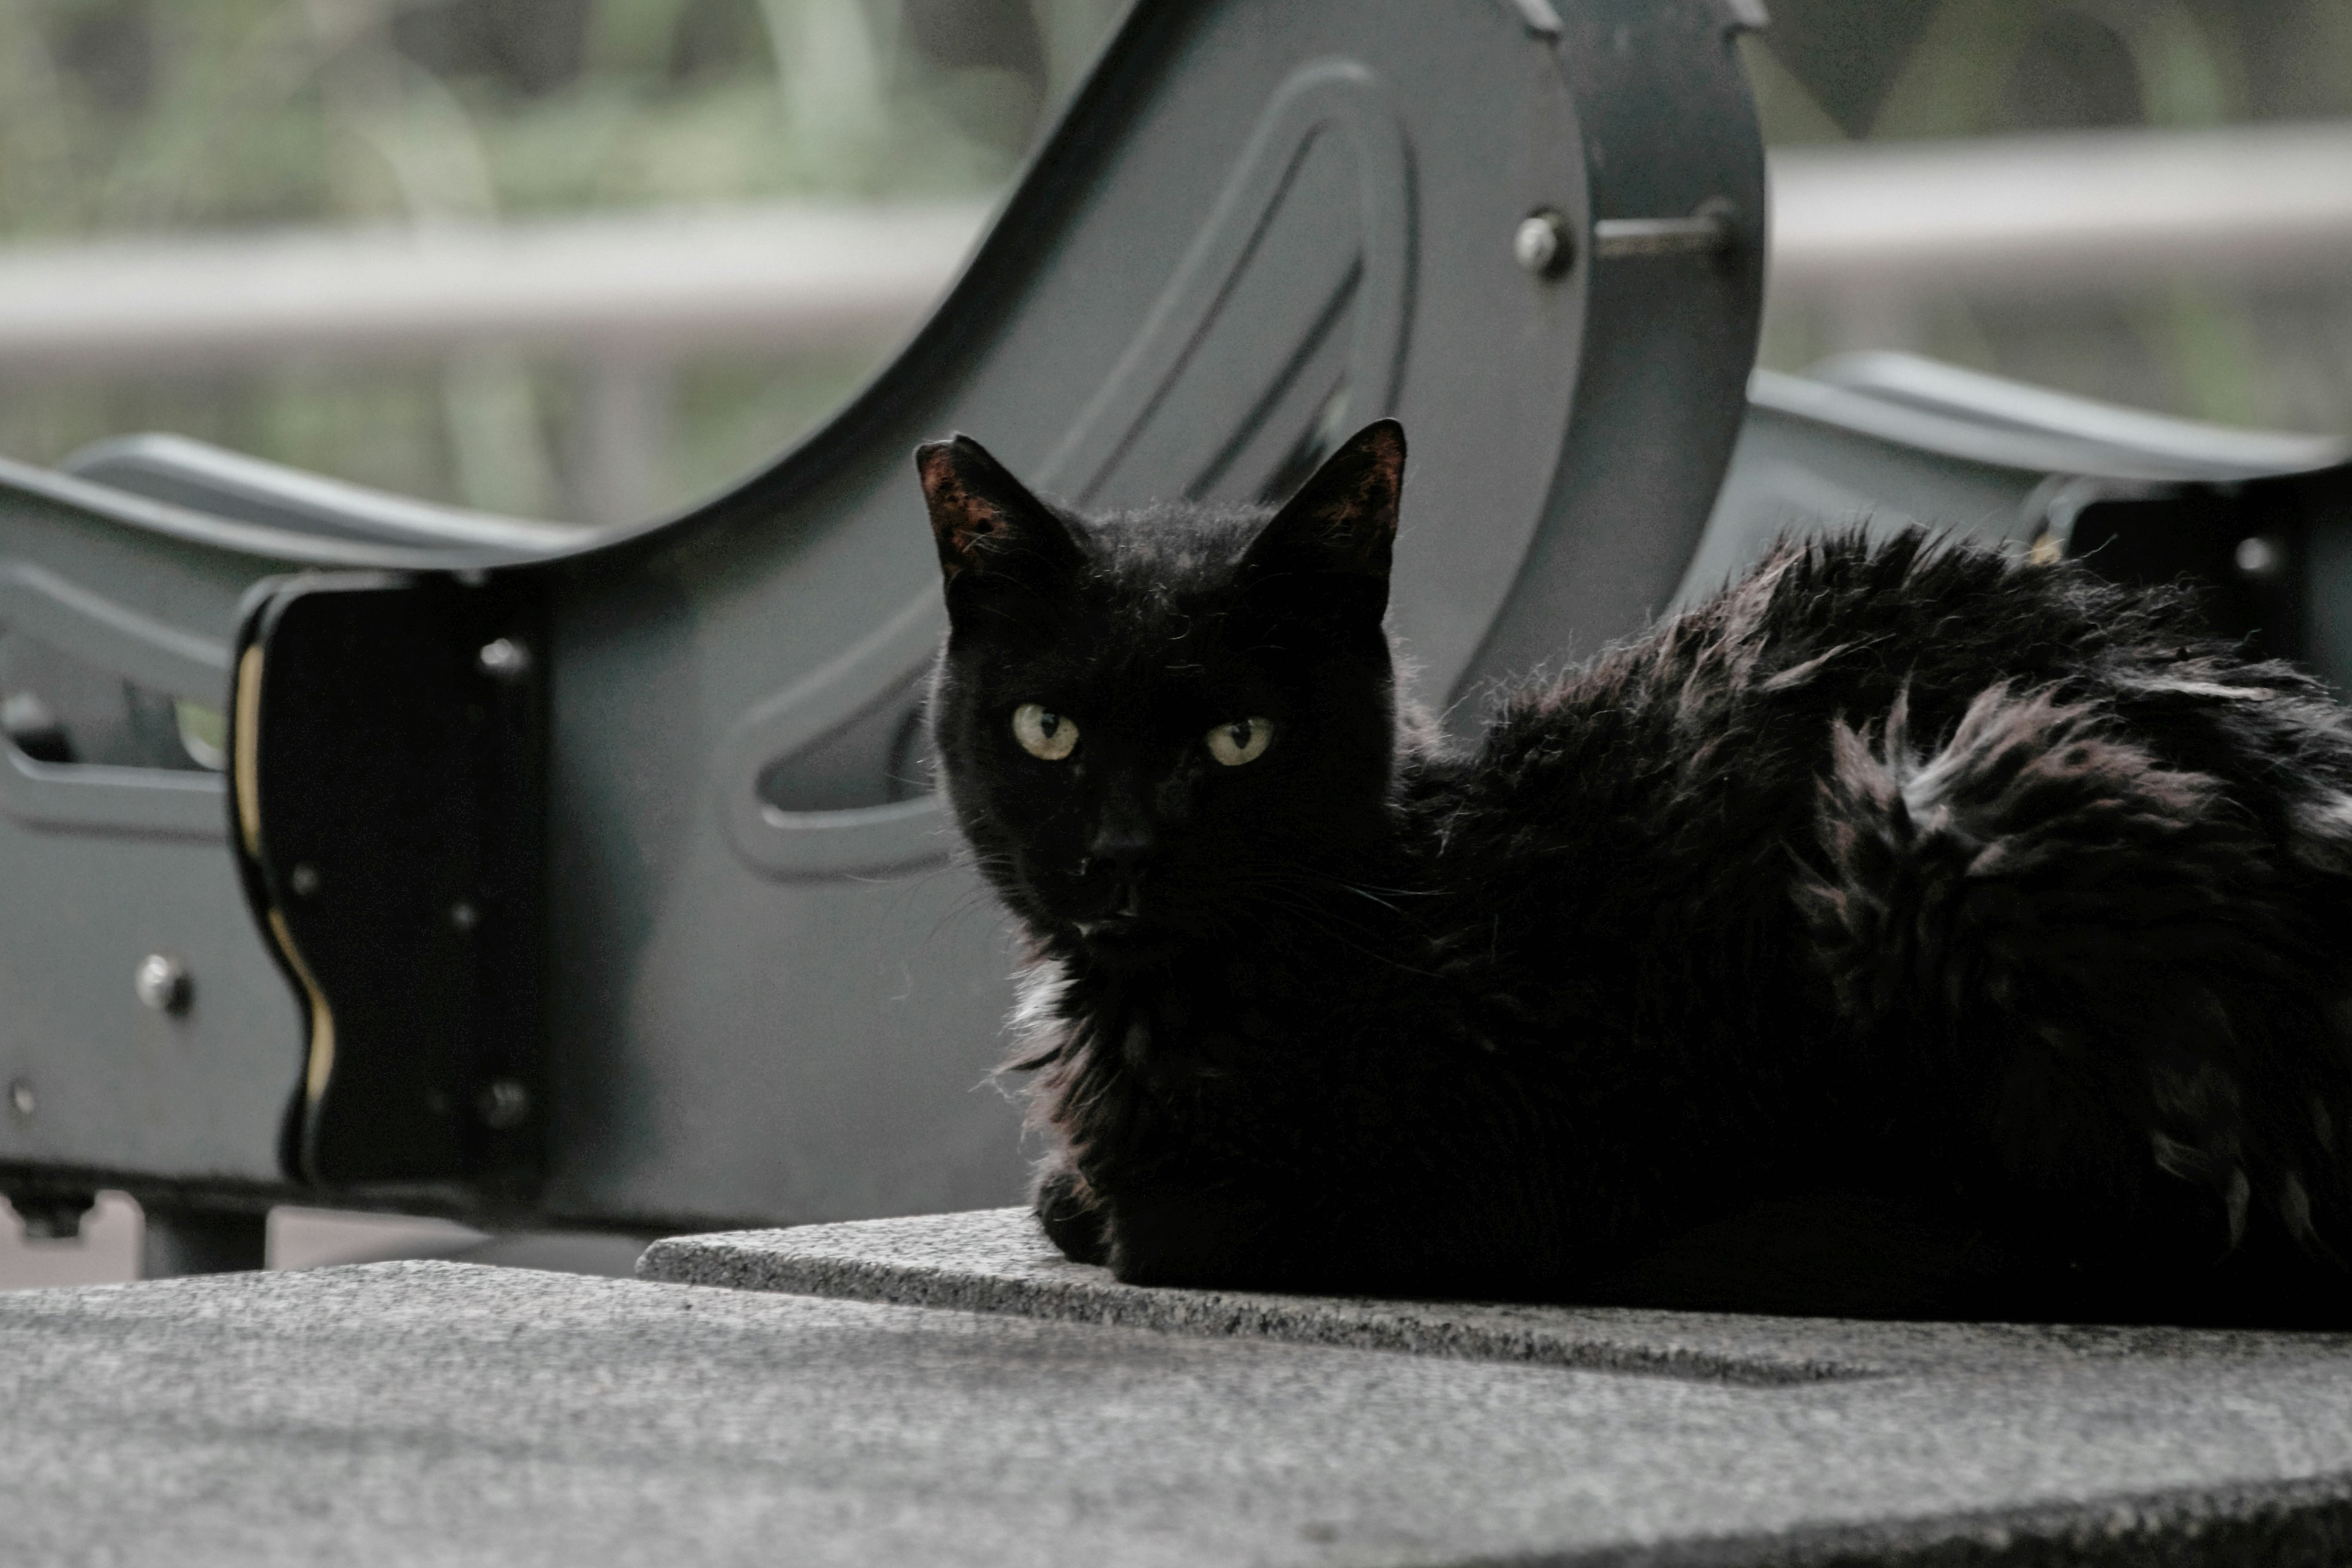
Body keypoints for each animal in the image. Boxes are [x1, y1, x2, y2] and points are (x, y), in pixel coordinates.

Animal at [912, 421, 2352, 1325]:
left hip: (1941, 807)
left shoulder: (1489, 1159)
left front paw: (1096, 1198)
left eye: (1237, 740)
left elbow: (1142, 1219)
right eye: (1050, 730)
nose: (1122, 854)